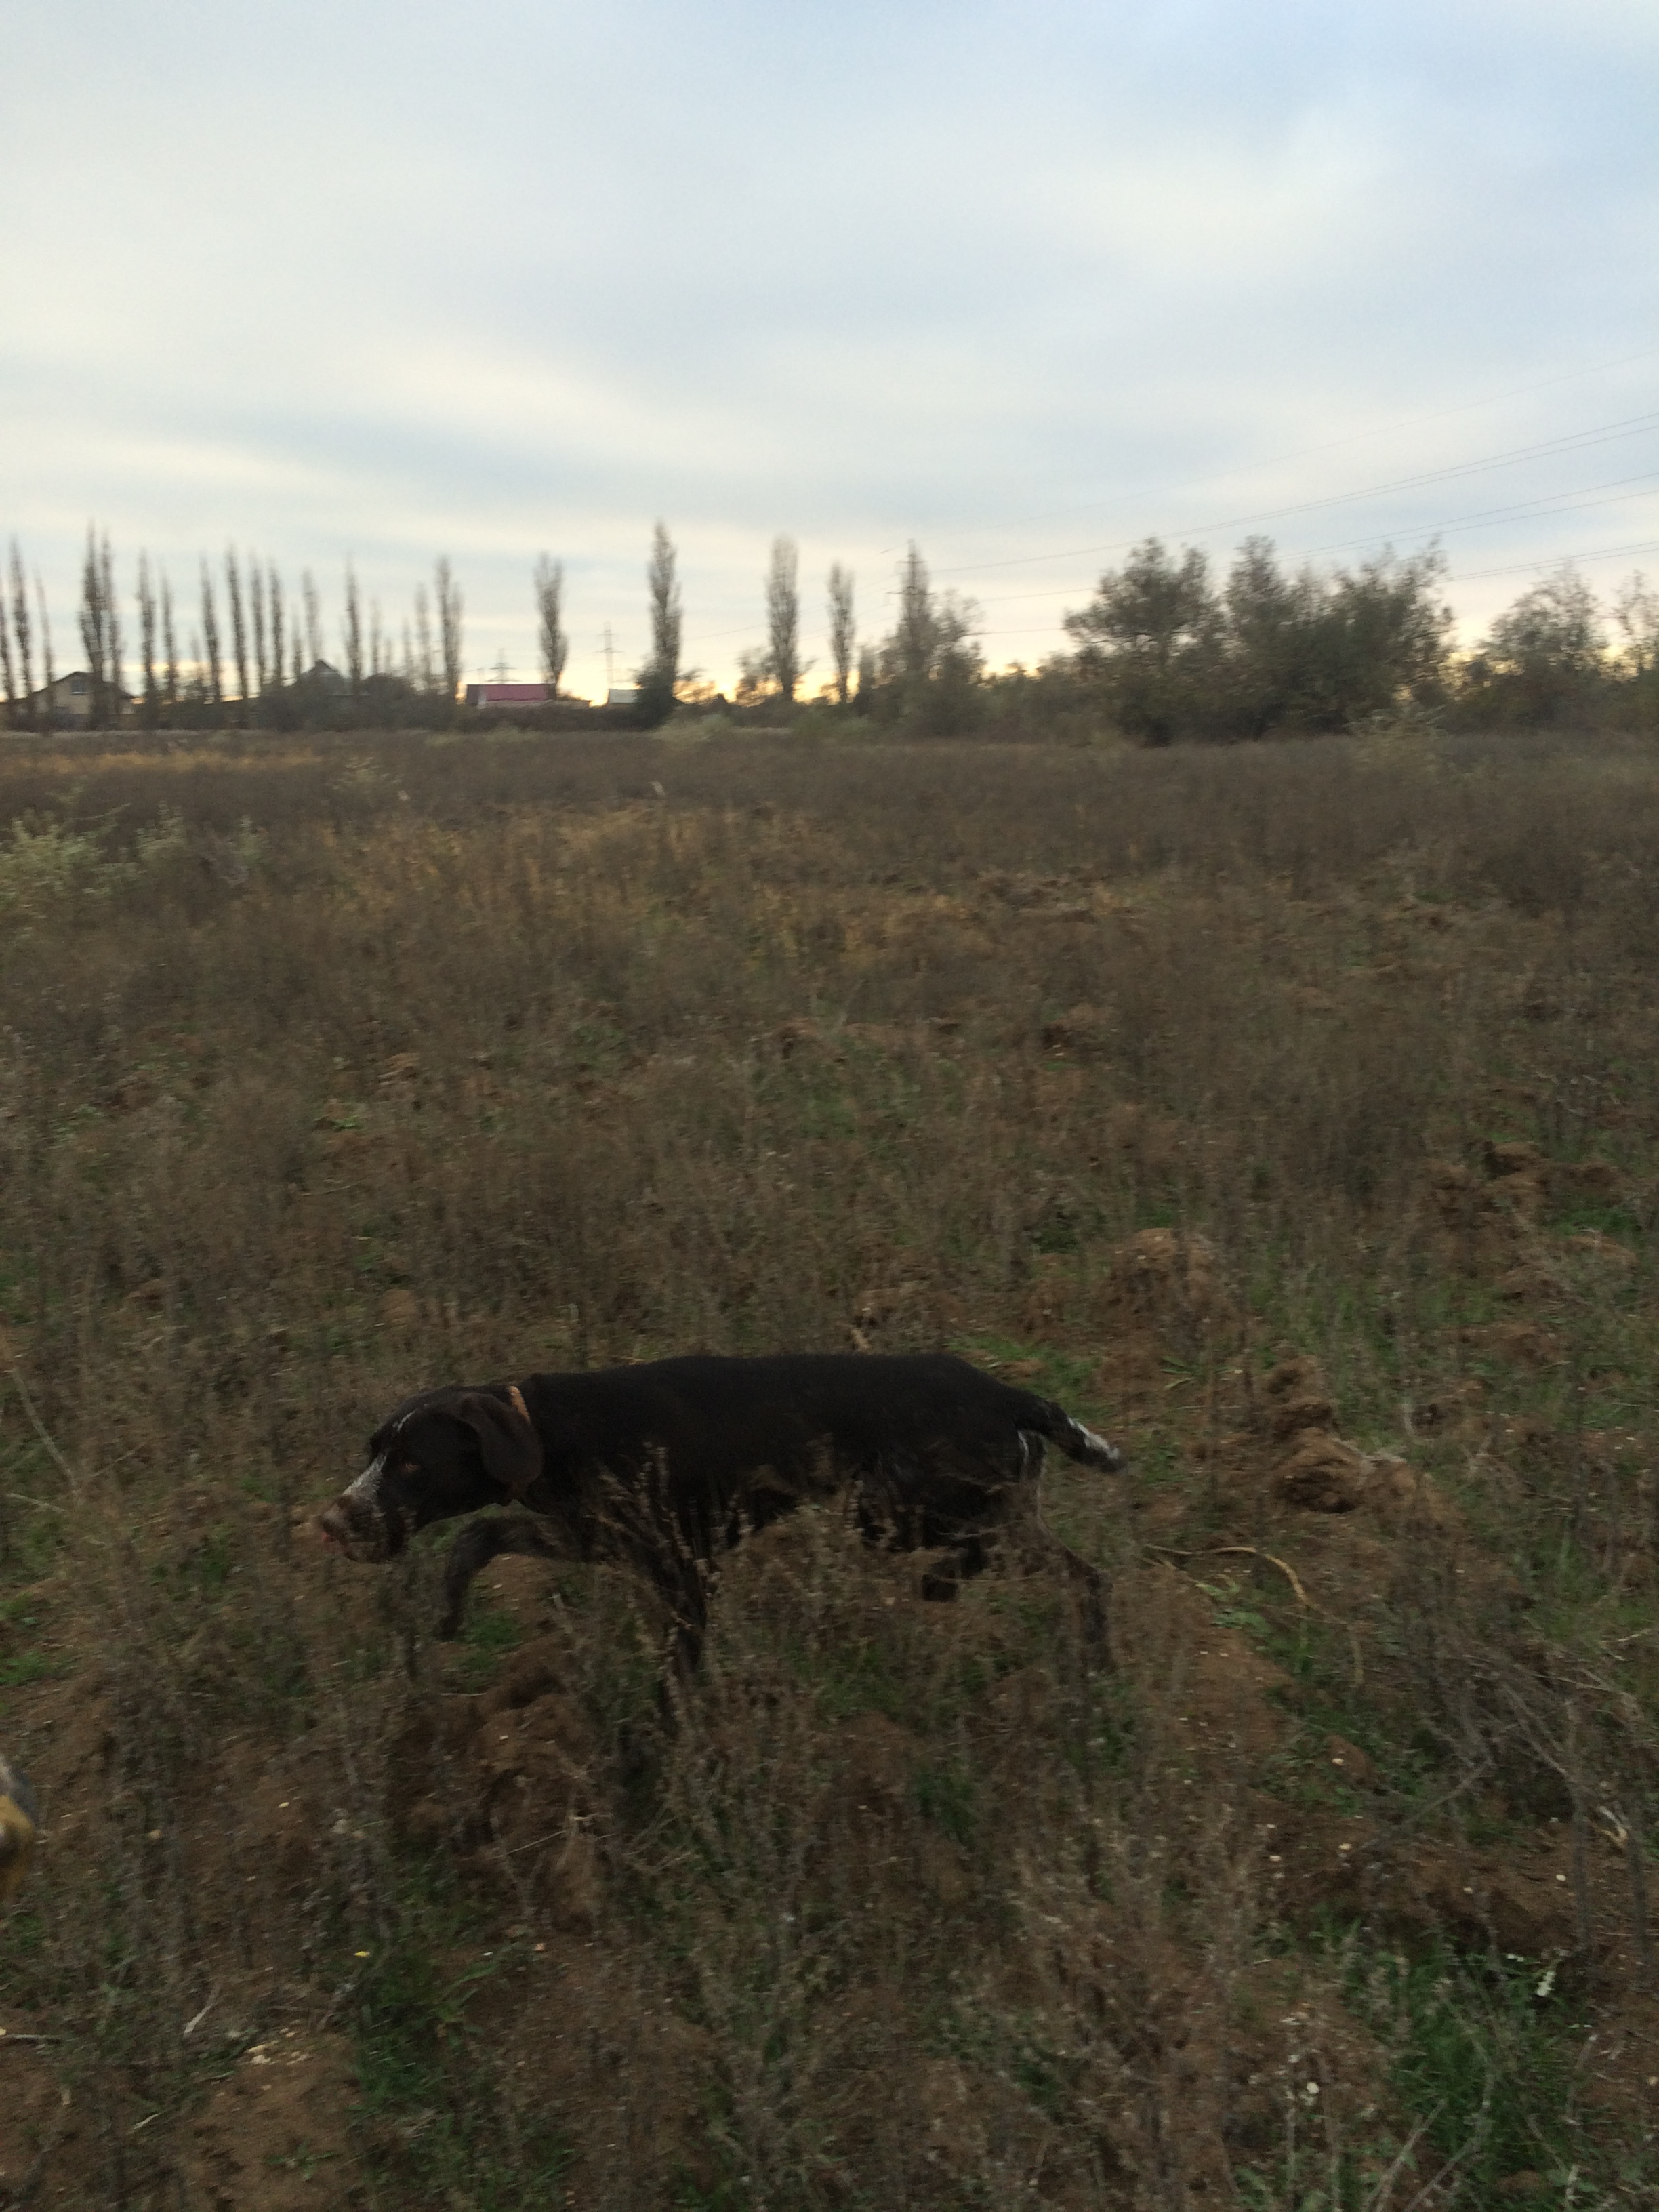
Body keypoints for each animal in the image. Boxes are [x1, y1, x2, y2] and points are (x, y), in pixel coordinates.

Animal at [316, 1352, 1127, 1662]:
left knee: (1008, 1551)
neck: (549, 1431)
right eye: (373, 1452)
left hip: (891, 1512)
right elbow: (478, 1536)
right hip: (954, 1509)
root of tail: (1011, 1394)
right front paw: (450, 1613)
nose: (335, 1521)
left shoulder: (681, 1574)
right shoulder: (594, 1538)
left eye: (412, 1463)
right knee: (1082, 1575)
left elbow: (680, 1679)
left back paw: (947, 1585)